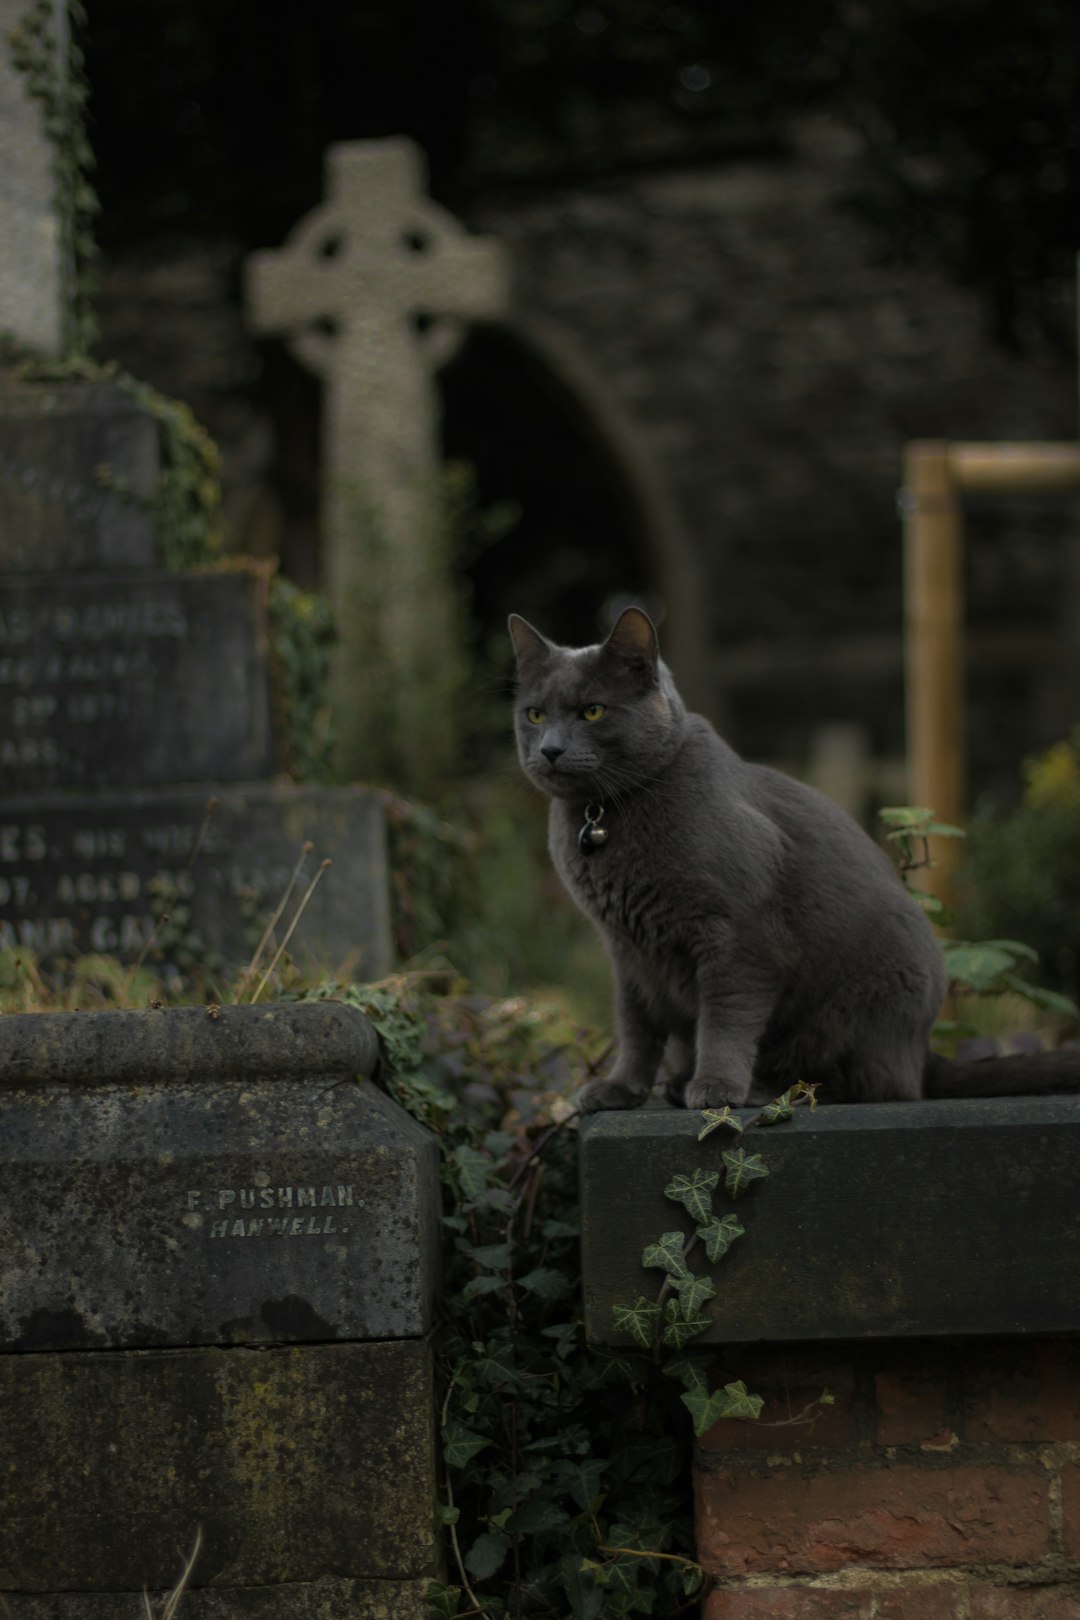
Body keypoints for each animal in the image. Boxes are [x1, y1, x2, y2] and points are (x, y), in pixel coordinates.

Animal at [511, 609, 1080, 1114]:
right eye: (535, 715)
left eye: (593, 711)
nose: (551, 750)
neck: (603, 814)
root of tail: (922, 1053)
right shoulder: (627, 952)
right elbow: (636, 1027)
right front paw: (620, 1090)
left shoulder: (739, 938)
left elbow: (725, 1019)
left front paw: (716, 1087)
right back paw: (675, 1085)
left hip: (866, 1001)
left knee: (866, 1084)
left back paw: (755, 1089)